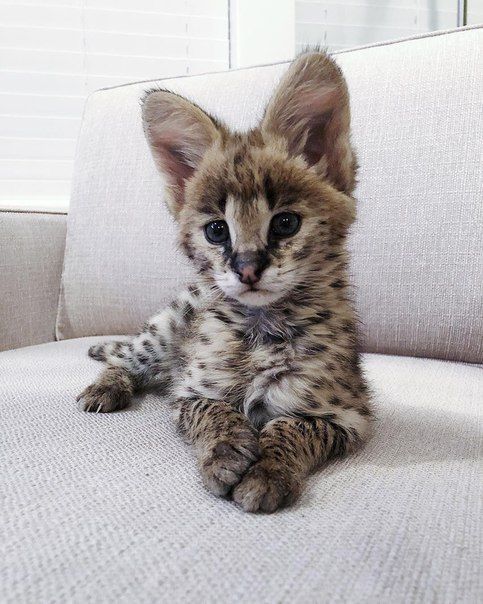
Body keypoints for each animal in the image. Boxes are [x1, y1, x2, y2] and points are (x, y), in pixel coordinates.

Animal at [78, 53, 374, 516]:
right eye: (217, 231)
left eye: (285, 223)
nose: (247, 269)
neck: (261, 328)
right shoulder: (189, 391)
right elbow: (216, 413)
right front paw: (227, 454)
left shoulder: (347, 415)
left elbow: (291, 427)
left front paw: (268, 472)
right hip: (163, 332)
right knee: (125, 359)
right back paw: (106, 386)